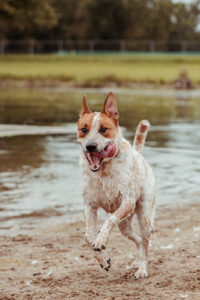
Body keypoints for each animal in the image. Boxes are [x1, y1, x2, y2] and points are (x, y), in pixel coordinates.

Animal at [77, 92, 156, 278]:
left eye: (103, 129)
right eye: (84, 129)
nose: (91, 146)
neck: (103, 171)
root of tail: (139, 155)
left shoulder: (127, 201)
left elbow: (109, 220)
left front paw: (101, 238)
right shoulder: (89, 204)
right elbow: (88, 237)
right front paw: (103, 260)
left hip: (143, 215)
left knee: (145, 240)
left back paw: (142, 269)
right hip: (124, 225)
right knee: (138, 240)